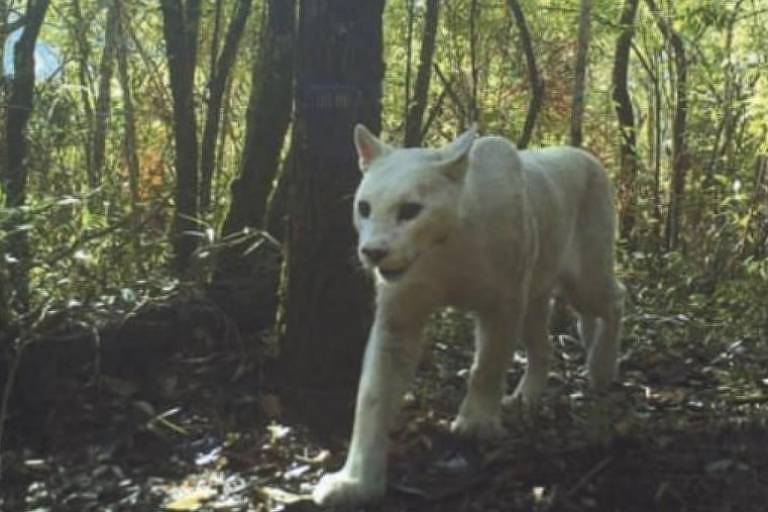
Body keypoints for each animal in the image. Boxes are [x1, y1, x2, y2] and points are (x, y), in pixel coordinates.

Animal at [312, 125, 624, 504]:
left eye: (411, 209)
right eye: (364, 207)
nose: (373, 251)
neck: (446, 245)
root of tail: (585, 155)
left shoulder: (503, 303)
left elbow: (488, 363)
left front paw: (476, 423)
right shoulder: (399, 317)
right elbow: (373, 395)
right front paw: (355, 482)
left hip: (585, 278)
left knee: (616, 298)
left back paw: (601, 367)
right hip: (535, 296)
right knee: (544, 346)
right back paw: (525, 398)